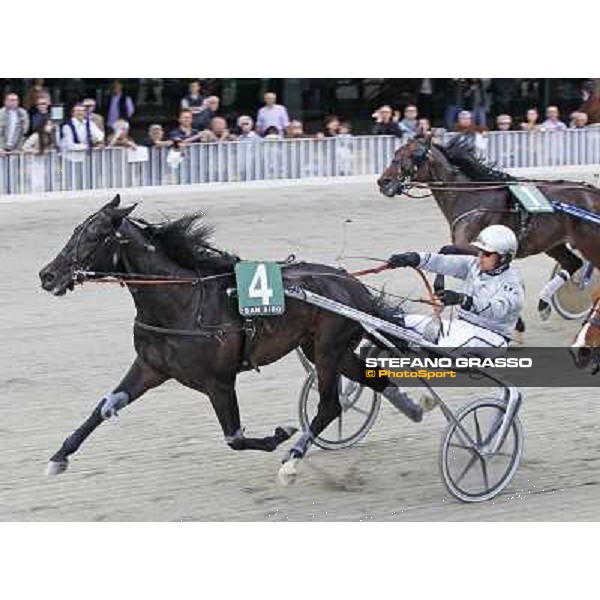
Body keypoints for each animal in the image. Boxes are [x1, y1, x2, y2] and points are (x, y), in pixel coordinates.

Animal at [39, 195, 400, 486]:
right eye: (76, 230)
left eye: (93, 235)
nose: (47, 275)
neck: (181, 303)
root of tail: (355, 285)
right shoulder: (150, 367)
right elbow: (103, 407)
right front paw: (59, 457)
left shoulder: (219, 382)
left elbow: (235, 438)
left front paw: (280, 435)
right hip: (327, 350)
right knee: (375, 381)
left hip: (327, 350)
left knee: (329, 405)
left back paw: (292, 460)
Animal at [378, 134, 600, 326]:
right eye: (396, 152)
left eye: (414, 155)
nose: (383, 182)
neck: (473, 196)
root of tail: (593, 194)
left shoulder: (474, 246)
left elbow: (445, 250)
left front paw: (440, 288)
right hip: (552, 243)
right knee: (573, 262)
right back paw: (544, 304)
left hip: (589, 243)